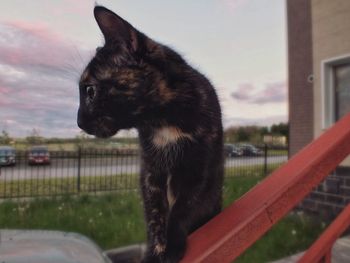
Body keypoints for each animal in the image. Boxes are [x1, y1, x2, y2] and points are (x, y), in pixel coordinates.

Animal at [77, 6, 224, 263]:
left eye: (90, 91)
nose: (78, 121)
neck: (162, 121)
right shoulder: (150, 172)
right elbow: (155, 215)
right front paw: (155, 252)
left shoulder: (199, 169)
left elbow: (182, 208)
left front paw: (173, 245)